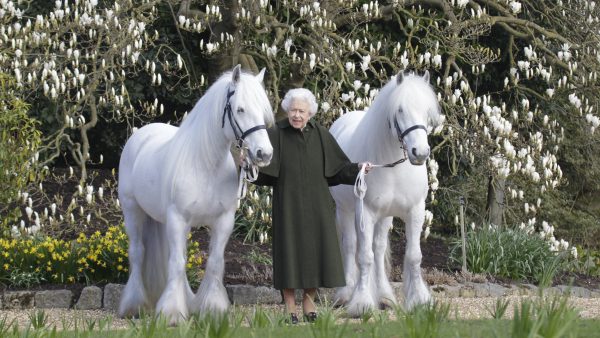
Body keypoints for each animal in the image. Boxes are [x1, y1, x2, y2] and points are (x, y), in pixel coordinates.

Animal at [118, 64, 274, 324]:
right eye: (240, 109)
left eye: (263, 111)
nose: (264, 154)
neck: (205, 165)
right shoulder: (178, 219)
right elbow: (177, 263)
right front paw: (171, 313)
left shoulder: (223, 221)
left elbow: (214, 263)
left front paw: (212, 308)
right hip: (133, 211)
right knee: (138, 253)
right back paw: (134, 305)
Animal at [328, 70, 440, 316]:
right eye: (400, 110)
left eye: (427, 110)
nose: (420, 152)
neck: (393, 166)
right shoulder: (366, 213)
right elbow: (364, 257)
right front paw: (361, 303)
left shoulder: (415, 211)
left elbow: (413, 256)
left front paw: (419, 300)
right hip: (345, 211)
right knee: (351, 246)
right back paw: (345, 294)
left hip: (385, 216)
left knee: (378, 250)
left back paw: (385, 296)